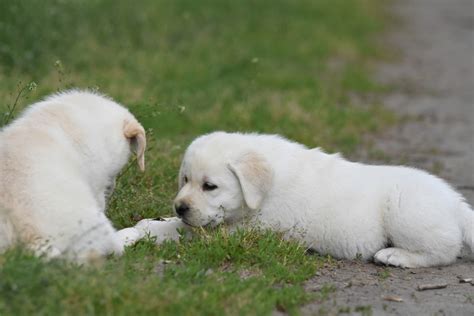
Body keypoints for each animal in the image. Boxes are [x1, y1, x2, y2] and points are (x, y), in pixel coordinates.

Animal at [171, 131, 474, 266]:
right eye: (185, 180)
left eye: (210, 186)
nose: (180, 207)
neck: (267, 187)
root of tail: (456, 203)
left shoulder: (251, 228)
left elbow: (187, 231)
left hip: (405, 210)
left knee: (444, 250)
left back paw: (394, 255)